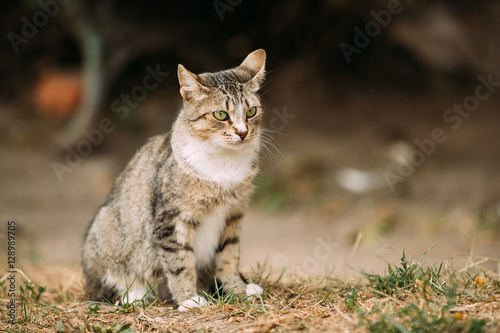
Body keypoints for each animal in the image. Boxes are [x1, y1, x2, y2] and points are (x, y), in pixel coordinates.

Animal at [82, 49, 268, 312]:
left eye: (251, 111)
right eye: (221, 115)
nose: (243, 132)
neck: (224, 161)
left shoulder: (233, 215)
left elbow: (229, 256)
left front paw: (237, 289)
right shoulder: (171, 220)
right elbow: (180, 263)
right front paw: (189, 299)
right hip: (105, 230)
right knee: (104, 288)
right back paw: (133, 295)